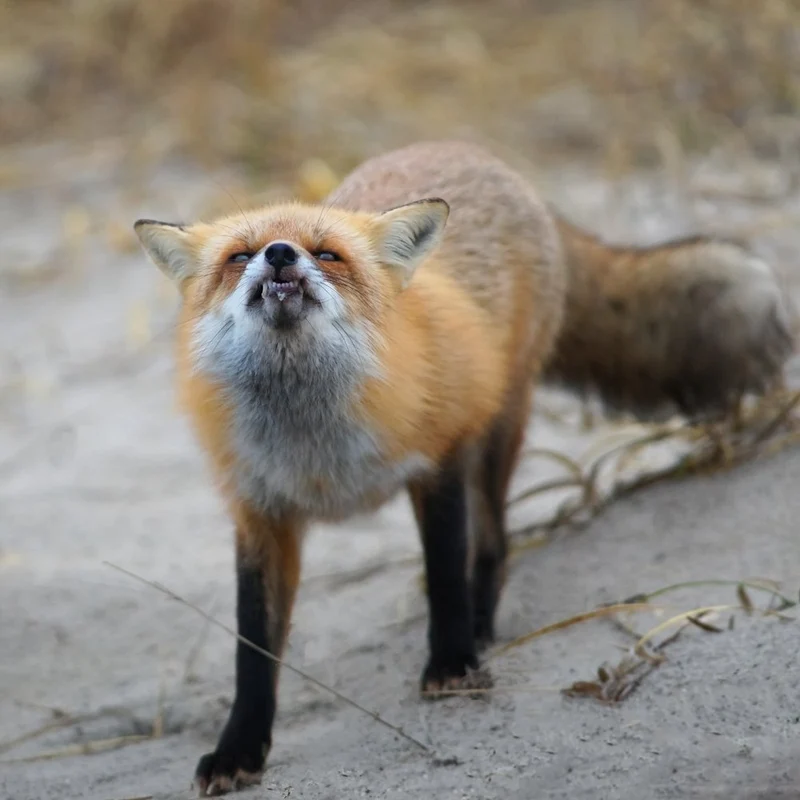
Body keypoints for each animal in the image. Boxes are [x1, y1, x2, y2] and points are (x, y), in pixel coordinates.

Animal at [134, 140, 794, 796]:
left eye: (326, 253)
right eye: (239, 255)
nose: (278, 253)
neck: (314, 442)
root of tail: (481, 156)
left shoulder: (440, 463)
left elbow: (447, 571)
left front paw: (451, 664)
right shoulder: (259, 511)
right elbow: (253, 648)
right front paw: (240, 748)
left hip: (497, 431)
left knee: (494, 545)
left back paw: (479, 629)